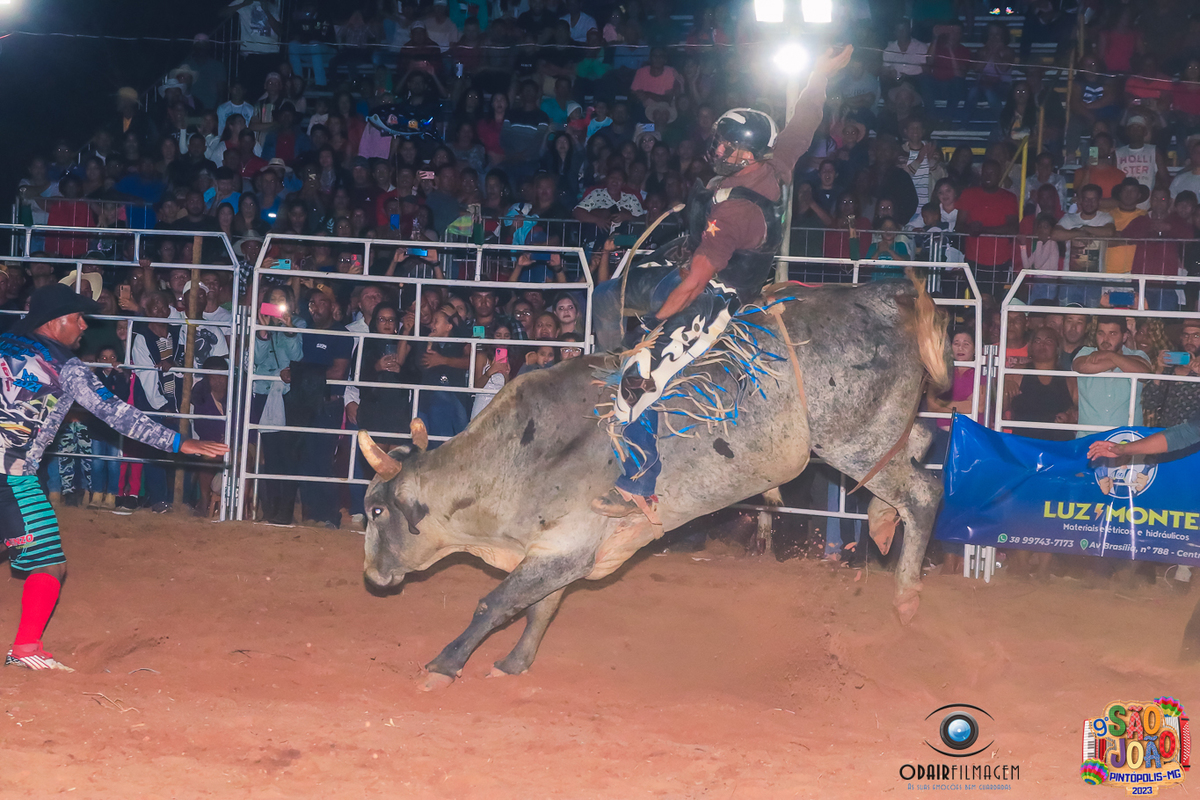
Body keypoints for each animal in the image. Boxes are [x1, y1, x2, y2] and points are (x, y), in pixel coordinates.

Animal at [359, 277, 950, 690]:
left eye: (377, 511)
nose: (372, 575)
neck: (514, 459)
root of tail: (883, 294)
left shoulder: (561, 547)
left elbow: (496, 603)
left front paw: (442, 665)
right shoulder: (565, 550)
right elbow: (541, 606)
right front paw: (513, 663)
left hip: (854, 438)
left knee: (923, 492)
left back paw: (906, 599)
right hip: (877, 432)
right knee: (920, 443)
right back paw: (880, 523)